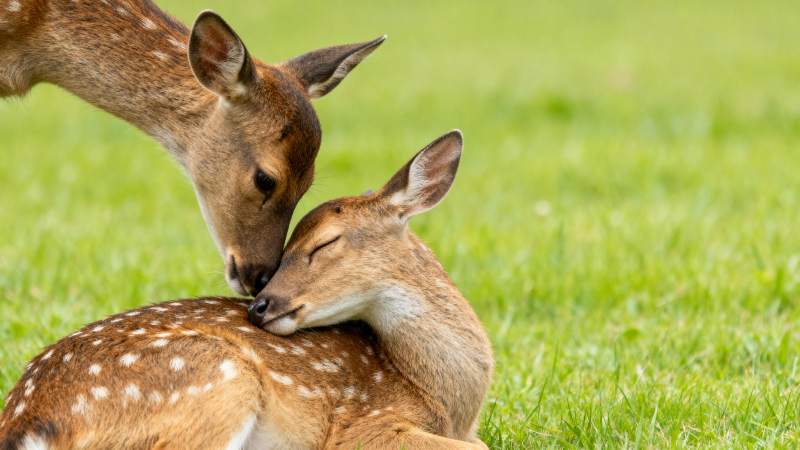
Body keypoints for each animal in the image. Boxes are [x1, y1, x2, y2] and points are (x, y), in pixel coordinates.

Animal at [0, 131, 494, 450]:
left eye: (324, 243)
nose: (260, 305)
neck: (444, 402)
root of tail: (25, 422)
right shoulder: (364, 424)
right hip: (216, 380)